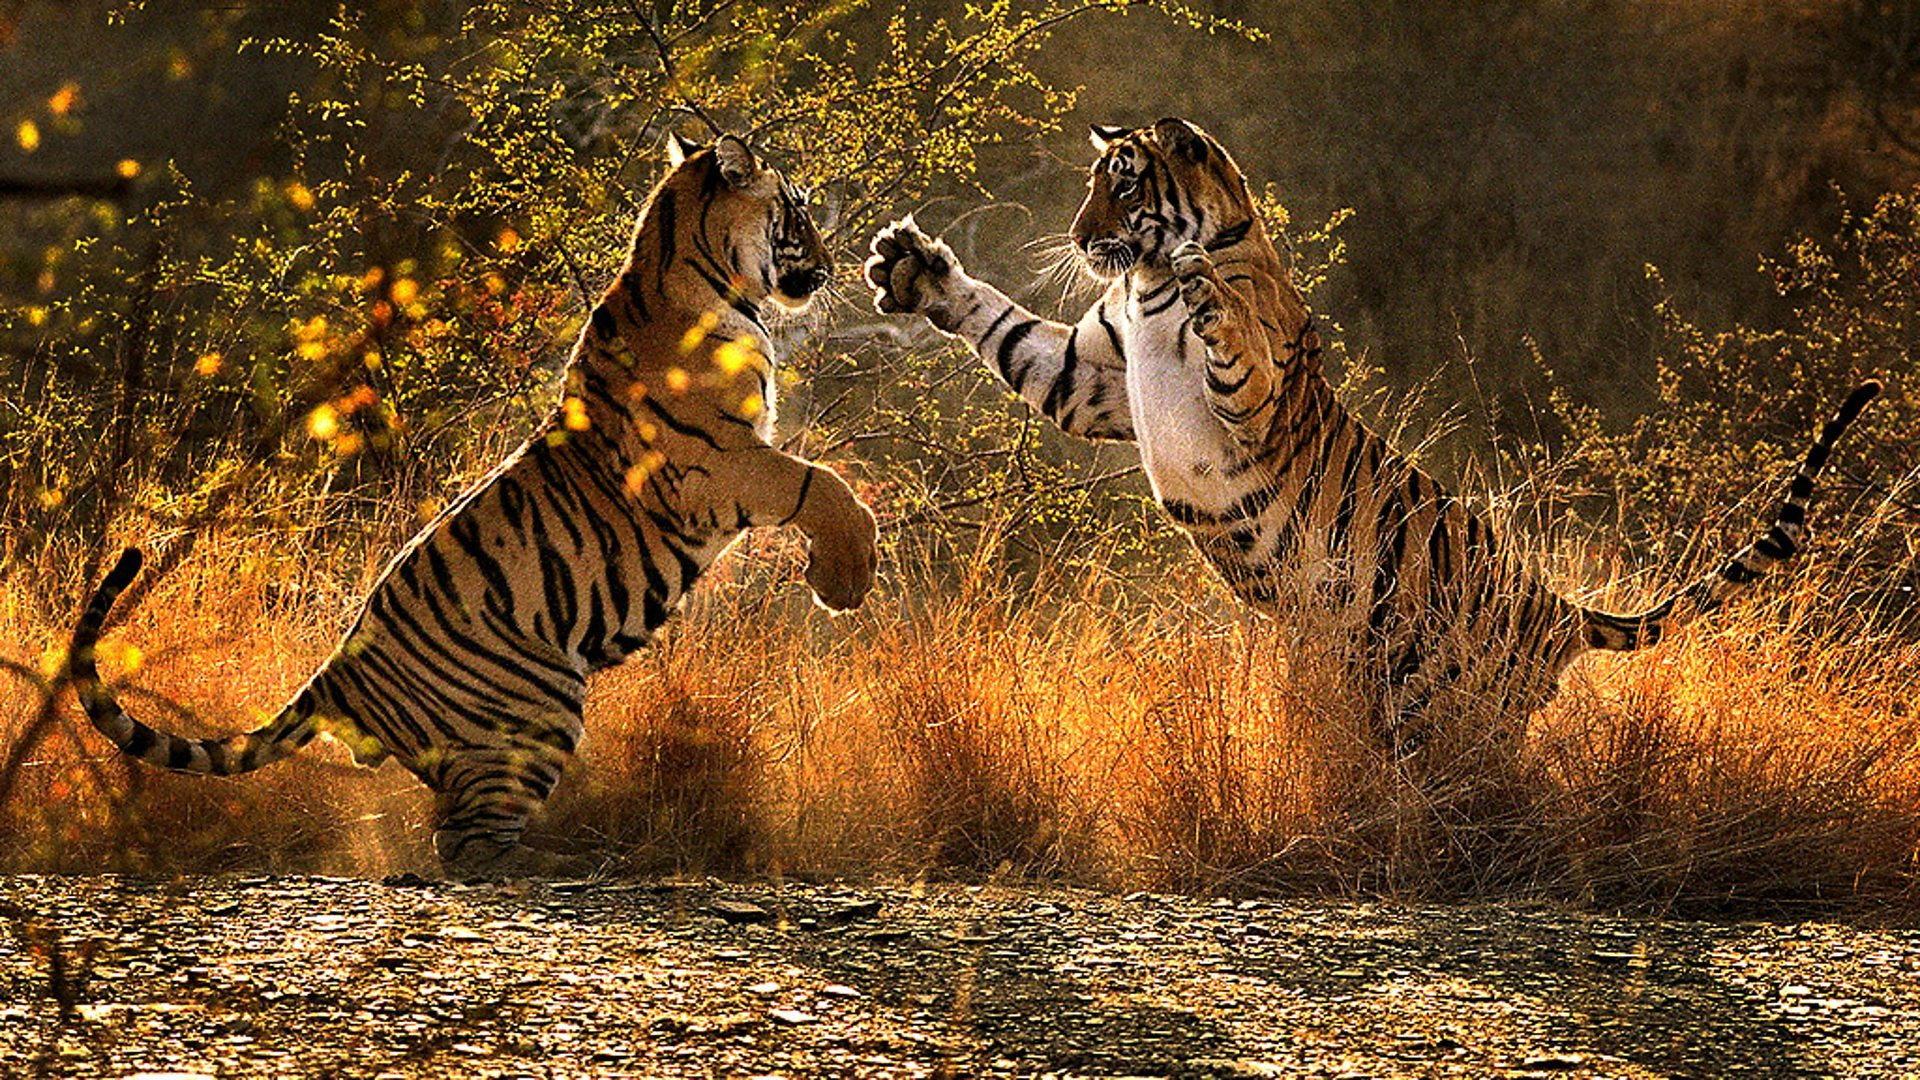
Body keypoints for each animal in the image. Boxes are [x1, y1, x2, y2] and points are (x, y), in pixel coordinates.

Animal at [68, 132, 878, 876]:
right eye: (796, 212)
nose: (833, 268)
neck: (693, 265)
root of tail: (336, 672)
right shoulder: (720, 463)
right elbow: (826, 485)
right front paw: (845, 581)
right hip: (537, 707)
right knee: (465, 846)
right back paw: (553, 868)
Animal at [867, 116, 1878, 754]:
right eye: (1091, 188)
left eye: (1121, 188)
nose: (1081, 237)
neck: (1143, 284)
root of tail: (1554, 605)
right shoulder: (1093, 380)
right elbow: (1007, 329)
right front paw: (913, 271)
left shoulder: (1252, 401)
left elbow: (1234, 341)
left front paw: (1208, 289)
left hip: (1449, 701)